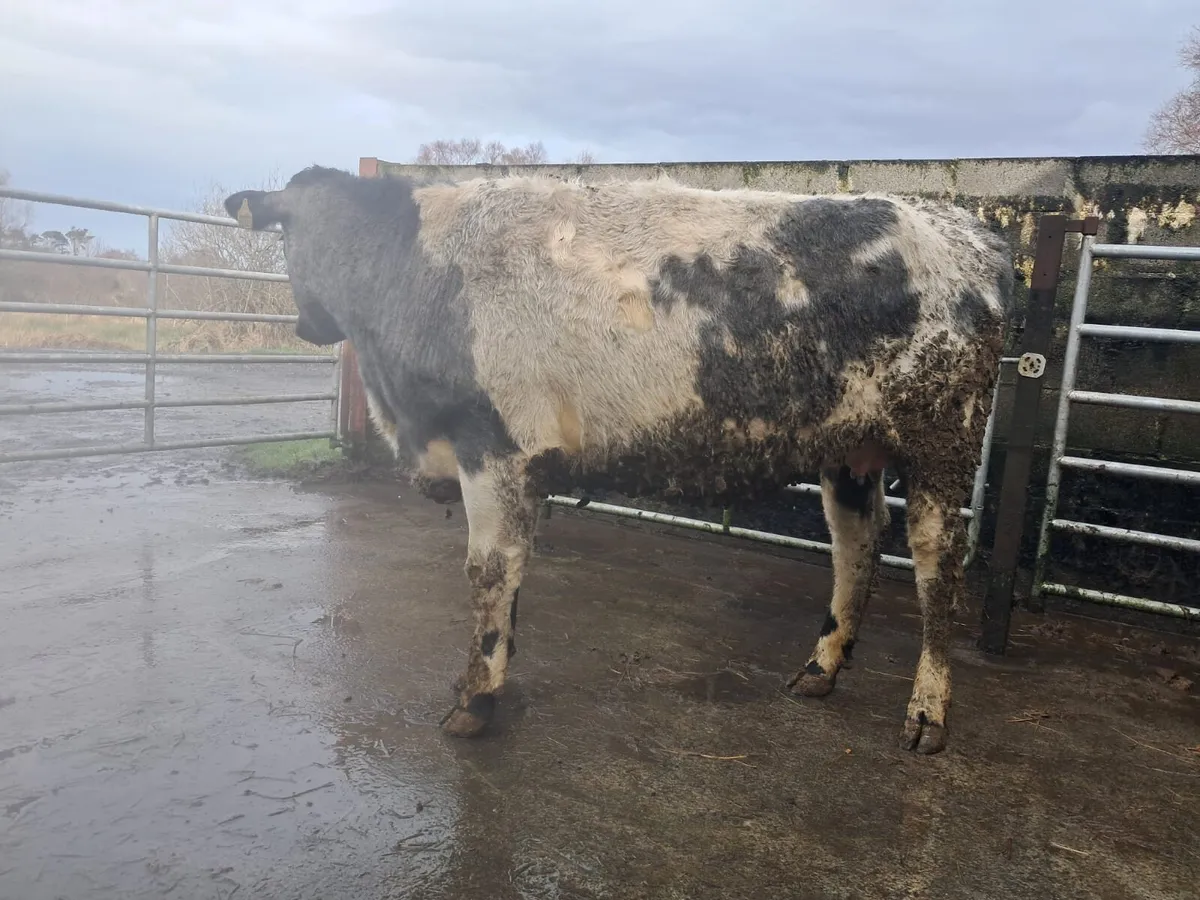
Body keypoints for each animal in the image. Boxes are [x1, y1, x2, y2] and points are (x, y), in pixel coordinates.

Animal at [224, 165, 1014, 755]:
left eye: (291, 234)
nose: (307, 323)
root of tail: (965, 228)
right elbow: (514, 575)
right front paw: (496, 679)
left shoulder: (493, 445)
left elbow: (487, 573)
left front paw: (475, 700)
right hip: (849, 446)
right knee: (857, 544)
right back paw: (820, 667)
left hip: (944, 436)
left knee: (935, 562)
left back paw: (927, 712)